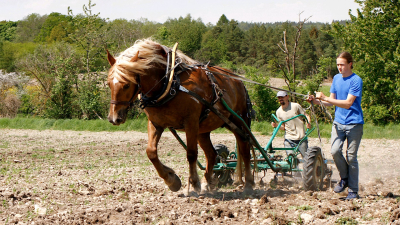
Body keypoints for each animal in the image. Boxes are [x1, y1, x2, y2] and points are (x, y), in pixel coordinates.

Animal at [106, 38, 255, 193]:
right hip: (203, 130)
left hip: (238, 121)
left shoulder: (191, 122)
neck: (171, 83)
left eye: (127, 85)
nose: (114, 118)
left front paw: (194, 183)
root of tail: (237, 80)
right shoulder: (155, 123)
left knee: (245, 149)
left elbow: (191, 153)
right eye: (109, 84)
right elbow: (151, 152)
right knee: (212, 154)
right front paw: (171, 180)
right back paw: (207, 183)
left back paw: (248, 183)